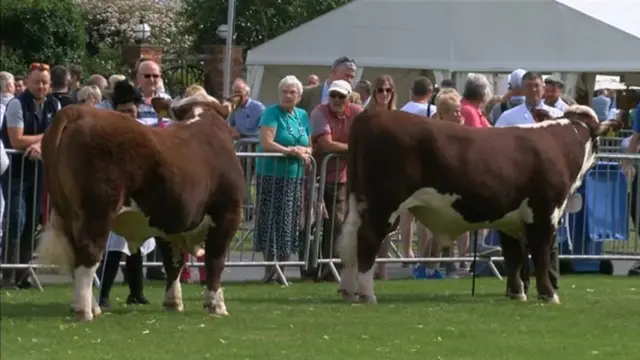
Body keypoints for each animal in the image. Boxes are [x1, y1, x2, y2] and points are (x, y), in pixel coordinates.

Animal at [35, 92, 245, 320]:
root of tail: (77, 111)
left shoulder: (169, 221)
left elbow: (174, 262)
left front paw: (173, 301)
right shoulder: (228, 213)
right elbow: (215, 259)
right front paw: (216, 305)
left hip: (66, 211)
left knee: (76, 255)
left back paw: (88, 306)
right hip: (97, 210)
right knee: (89, 252)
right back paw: (84, 311)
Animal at [338, 105, 624, 306]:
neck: (561, 143)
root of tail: (373, 114)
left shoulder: (510, 217)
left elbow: (514, 257)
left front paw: (517, 293)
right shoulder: (545, 213)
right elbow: (541, 255)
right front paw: (548, 294)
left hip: (357, 201)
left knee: (349, 240)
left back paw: (348, 291)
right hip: (384, 204)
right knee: (367, 239)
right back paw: (367, 294)